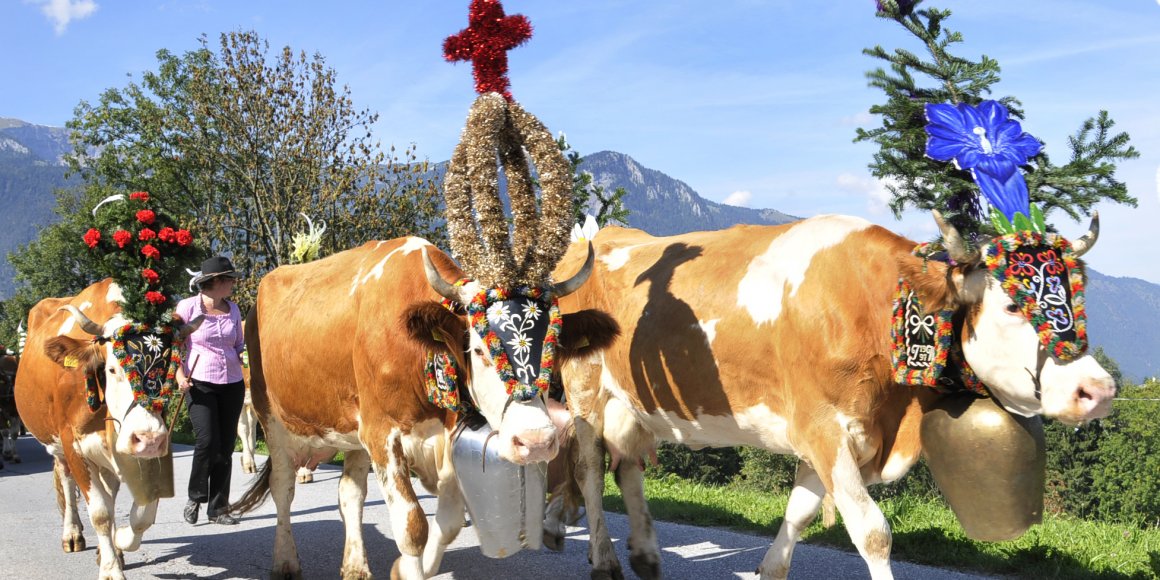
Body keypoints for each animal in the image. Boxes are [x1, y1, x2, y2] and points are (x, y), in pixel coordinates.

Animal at [15, 278, 199, 577]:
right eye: (112, 370)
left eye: (168, 372)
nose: (148, 439)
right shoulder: (74, 444)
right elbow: (100, 512)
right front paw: (111, 570)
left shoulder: (142, 449)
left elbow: (143, 513)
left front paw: (119, 540)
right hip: (57, 446)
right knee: (66, 481)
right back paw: (73, 535)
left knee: (110, 492)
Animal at [226, 235, 617, 580]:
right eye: (479, 350)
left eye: (553, 348)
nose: (536, 441)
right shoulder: (382, 434)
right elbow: (412, 525)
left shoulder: (443, 436)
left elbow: (449, 521)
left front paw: (408, 568)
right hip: (271, 416)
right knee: (282, 487)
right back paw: (285, 561)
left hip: (352, 431)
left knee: (350, 493)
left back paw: (355, 566)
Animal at [552, 214, 1113, 580]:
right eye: (1013, 306)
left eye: (1078, 296)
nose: (1099, 390)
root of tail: (594, 237)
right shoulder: (823, 427)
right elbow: (872, 532)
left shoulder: (831, 437)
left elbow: (799, 515)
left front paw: (770, 568)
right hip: (585, 391)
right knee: (589, 469)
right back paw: (605, 560)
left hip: (631, 404)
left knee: (627, 466)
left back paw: (646, 555)